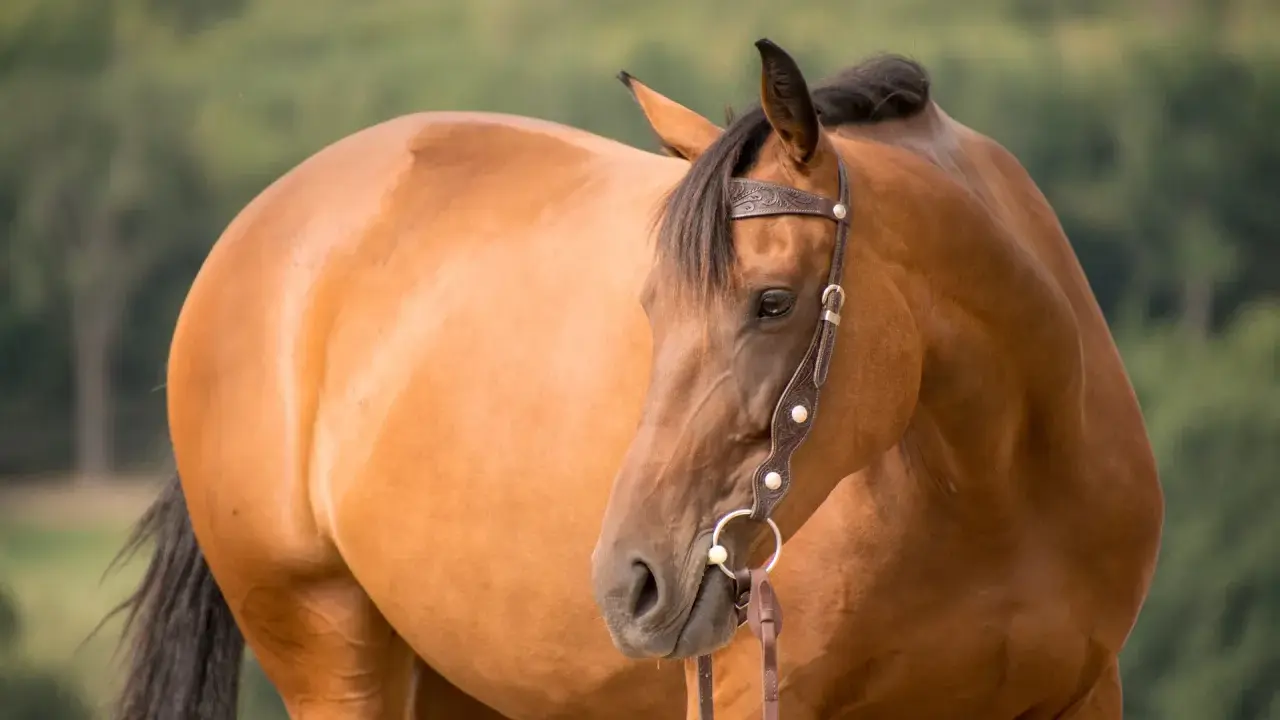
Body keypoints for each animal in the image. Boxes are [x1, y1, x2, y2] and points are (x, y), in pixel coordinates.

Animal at [107, 38, 1164, 720]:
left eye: (773, 301)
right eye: (651, 304)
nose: (631, 582)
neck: (994, 491)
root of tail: (256, 230)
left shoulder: (1084, 696)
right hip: (330, 651)